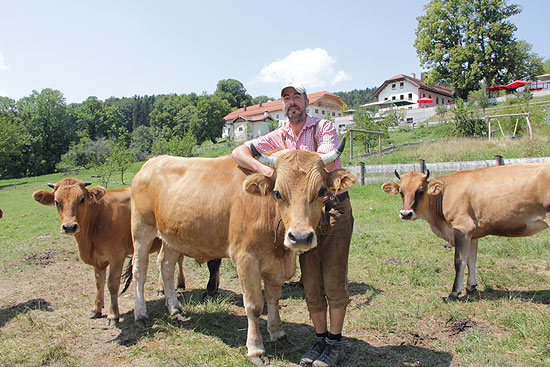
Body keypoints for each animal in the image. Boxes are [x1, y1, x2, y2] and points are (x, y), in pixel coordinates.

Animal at [32, 179, 221, 324]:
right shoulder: (98, 260)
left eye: (82, 199)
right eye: (57, 202)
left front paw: (113, 314)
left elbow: (112, 284)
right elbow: (99, 283)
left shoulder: (116, 256)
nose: (70, 226)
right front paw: (96, 309)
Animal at [130, 142, 358, 364]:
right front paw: (256, 348)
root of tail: (153, 161)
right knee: (139, 271)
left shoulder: (276, 265)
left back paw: (175, 309)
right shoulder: (245, 260)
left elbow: (274, 299)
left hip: (171, 237)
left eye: (321, 191)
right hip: (141, 229)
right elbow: (254, 305)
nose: (300, 237)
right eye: (277, 193)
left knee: (166, 267)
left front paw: (278, 333)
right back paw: (140, 315)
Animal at [384, 165, 550, 300]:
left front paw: (454, 293)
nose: (406, 213)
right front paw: (471, 287)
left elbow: (460, 261)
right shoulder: (473, 234)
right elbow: (472, 259)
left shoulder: (462, 228)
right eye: (401, 192)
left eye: (420, 191)